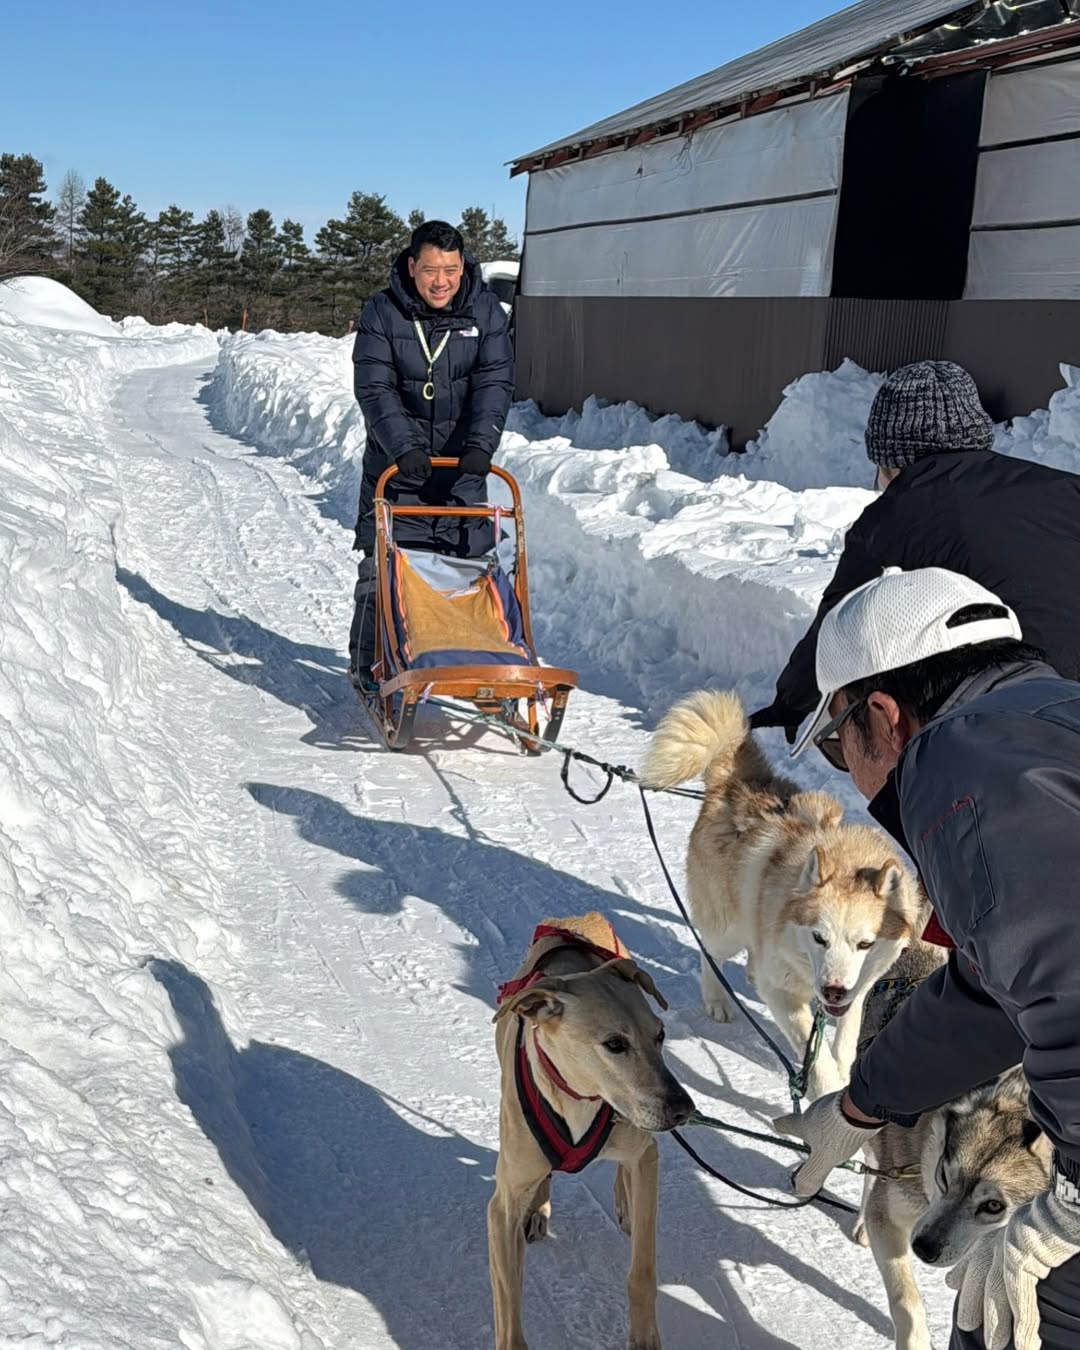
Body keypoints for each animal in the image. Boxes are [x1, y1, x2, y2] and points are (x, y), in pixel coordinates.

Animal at [642, 691, 918, 1101]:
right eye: (819, 937)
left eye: (865, 944)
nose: (833, 991)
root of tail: (736, 784)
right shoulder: (783, 992)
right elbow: (816, 1060)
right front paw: (828, 1090)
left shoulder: (859, 986)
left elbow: (846, 1036)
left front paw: (844, 1068)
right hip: (727, 929)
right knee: (711, 951)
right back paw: (716, 998)